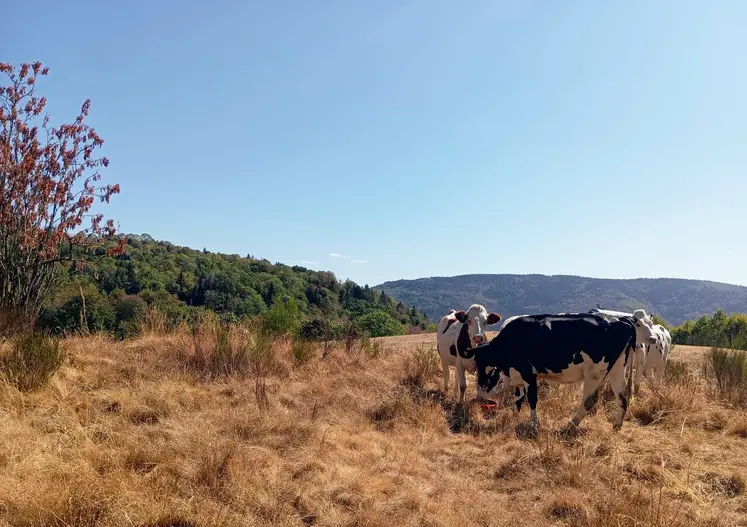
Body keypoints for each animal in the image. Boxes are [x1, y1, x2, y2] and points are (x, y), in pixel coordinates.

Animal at [462, 310, 657, 431]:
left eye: (479, 362)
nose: (481, 383)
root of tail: (622, 320)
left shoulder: (528, 373)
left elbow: (531, 399)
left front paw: (534, 424)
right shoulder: (517, 375)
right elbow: (518, 400)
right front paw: (513, 417)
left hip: (595, 372)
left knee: (590, 400)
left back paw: (571, 425)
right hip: (617, 369)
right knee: (622, 397)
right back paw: (616, 426)